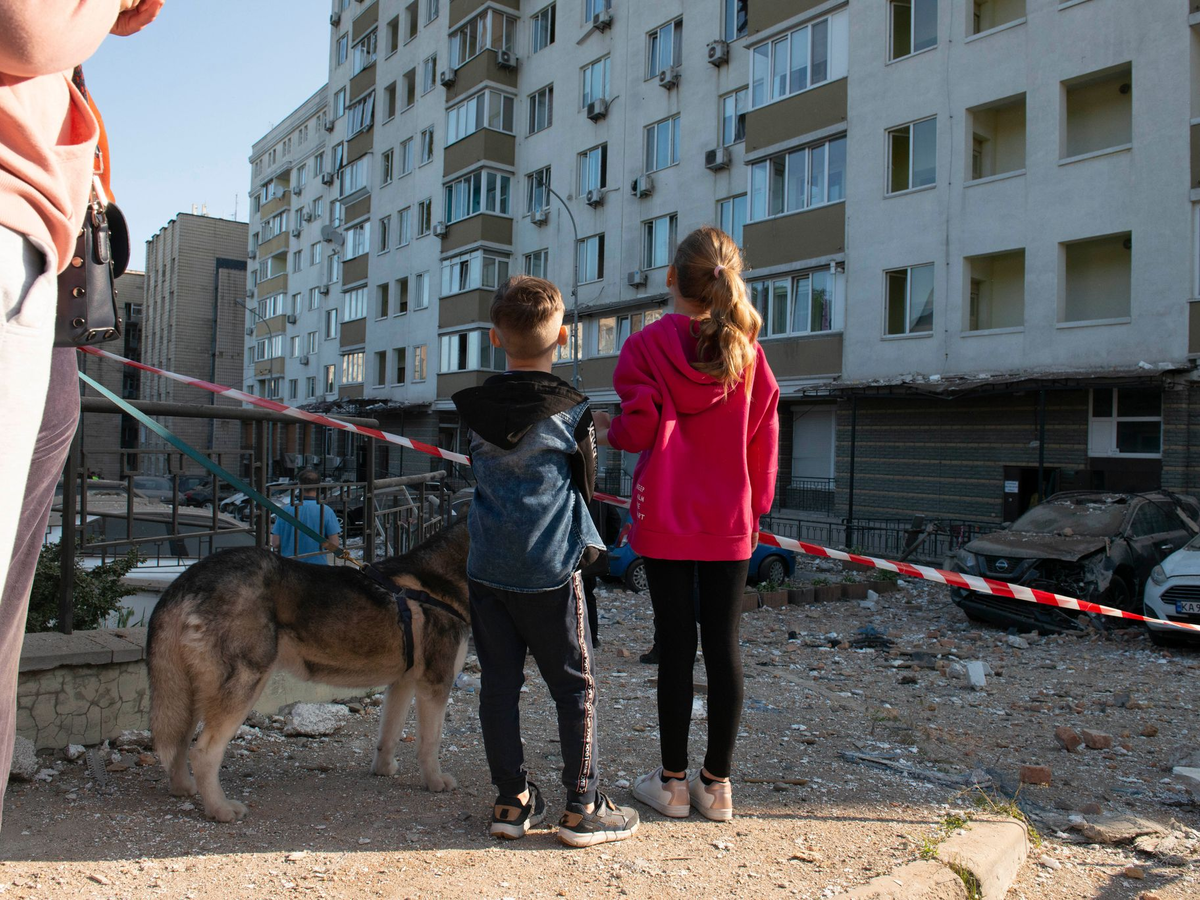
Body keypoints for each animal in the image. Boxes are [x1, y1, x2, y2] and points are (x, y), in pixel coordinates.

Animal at [146, 520, 471, 822]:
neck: (437, 582)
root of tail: (186, 582)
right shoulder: (436, 683)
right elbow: (431, 741)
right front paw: (435, 781)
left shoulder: (402, 683)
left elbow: (389, 733)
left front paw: (384, 769)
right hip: (244, 684)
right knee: (203, 753)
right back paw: (219, 808)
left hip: (187, 693)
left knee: (177, 741)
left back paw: (183, 788)